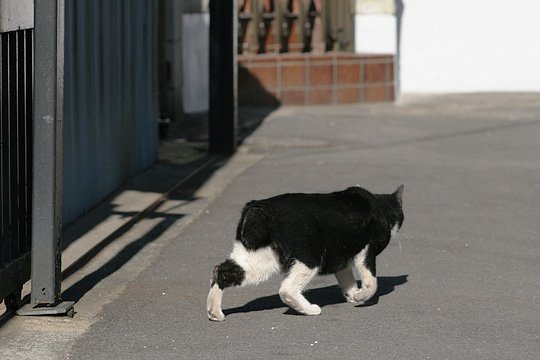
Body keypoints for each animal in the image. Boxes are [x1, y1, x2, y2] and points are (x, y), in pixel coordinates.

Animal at [207, 186, 404, 320]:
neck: (380, 206)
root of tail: (259, 207)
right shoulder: (366, 251)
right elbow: (371, 281)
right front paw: (362, 295)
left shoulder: (341, 260)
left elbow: (347, 279)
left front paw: (353, 295)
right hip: (309, 258)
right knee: (286, 289)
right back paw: (310, 309)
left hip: (259, 259)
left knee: (222, 271)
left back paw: (214, 312)